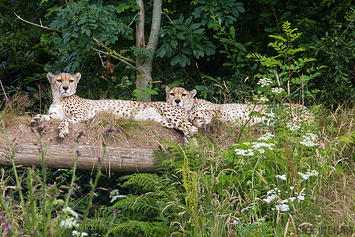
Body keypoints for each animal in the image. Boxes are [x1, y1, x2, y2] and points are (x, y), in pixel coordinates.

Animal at [30, 72, 197, 142]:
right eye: (59, 80)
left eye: (70, 81)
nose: (65, 88)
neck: (60, 98)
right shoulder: (55, 114)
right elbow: (48, 116)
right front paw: (36, 118)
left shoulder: (81, 115)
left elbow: (63, 121)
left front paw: (63, 131)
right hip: (164, 121)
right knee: (187, 128)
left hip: (171, 115)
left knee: (192, 128)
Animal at [166, 86, 312, 129]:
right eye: (172, 94)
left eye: (183, 94)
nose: (177, 101)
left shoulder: (224, 113)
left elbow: (204, 112)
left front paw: (200, 118)